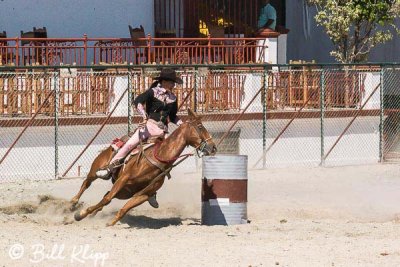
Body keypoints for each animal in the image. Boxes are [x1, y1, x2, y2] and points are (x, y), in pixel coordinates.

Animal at [71, 110, 216, 227]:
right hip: (97, 171)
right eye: (200, 127)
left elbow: (123, 208)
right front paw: (80, 214)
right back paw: (73, 203)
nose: (213, 147)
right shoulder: (123, 179)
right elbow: (106, 200)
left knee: (105, 196)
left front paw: (110, 222)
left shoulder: (144, 194)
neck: (158, 158)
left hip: (124, 192)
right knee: (87, 183)